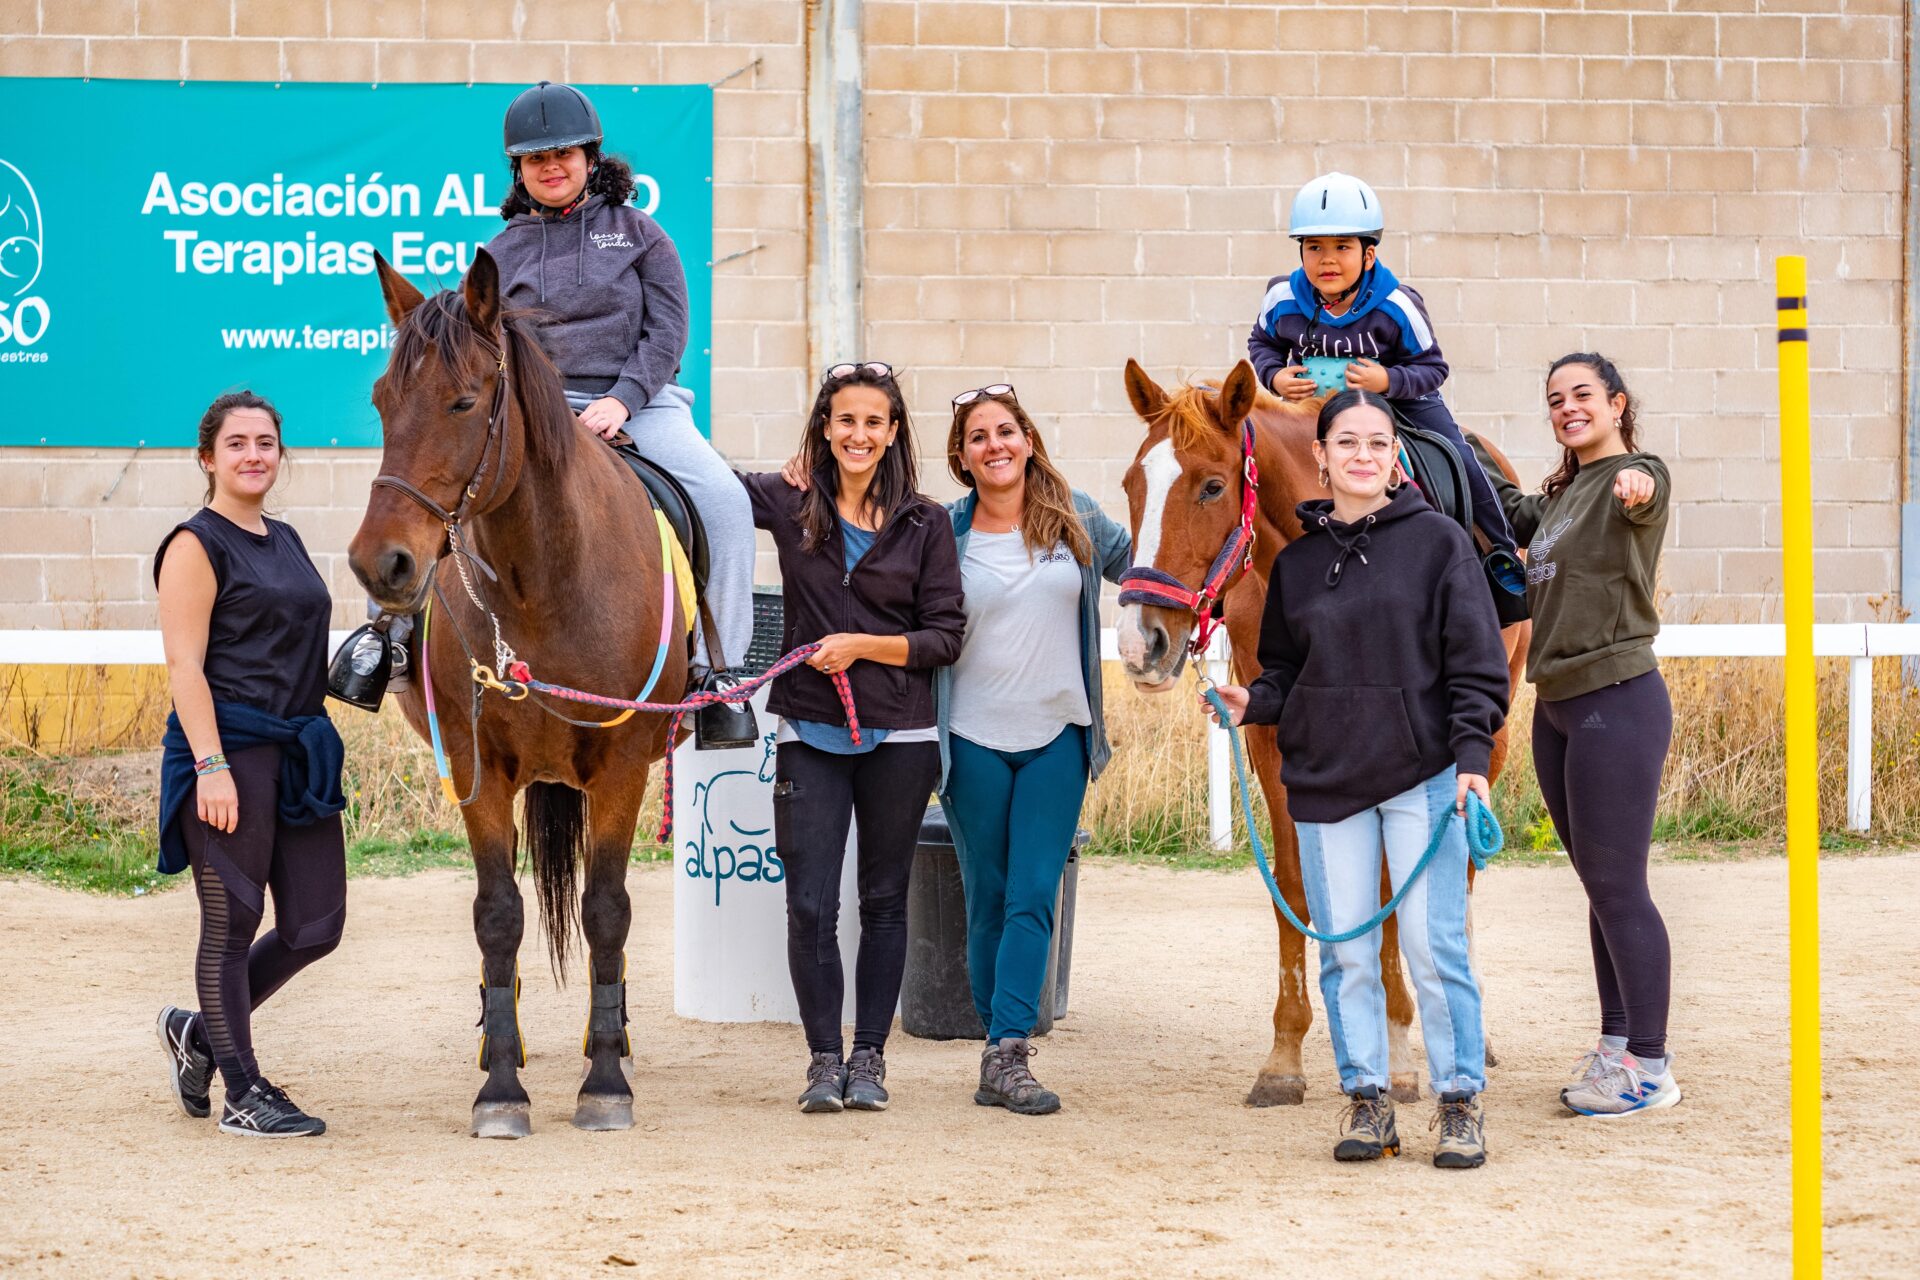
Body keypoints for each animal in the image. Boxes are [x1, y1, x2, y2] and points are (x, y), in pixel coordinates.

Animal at [349, 253, 687, 1143]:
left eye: (464, 401)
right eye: (382, 400)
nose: (380, 564)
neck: (543, 583)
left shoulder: (622, 766)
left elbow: (607, 912)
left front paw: (604, 1082)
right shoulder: (477, 770)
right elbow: (498, 916)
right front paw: (501, 1087)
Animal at [1113, 360, 1528, 1113]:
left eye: (1212, 484)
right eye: (1134, 485)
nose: (1140, 643)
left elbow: (1397, 886)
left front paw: (1398, 1050)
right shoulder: (1271, 739)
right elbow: (1296, 888)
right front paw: (1285, 1056)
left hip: (1493, 731)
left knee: (1459, 879)